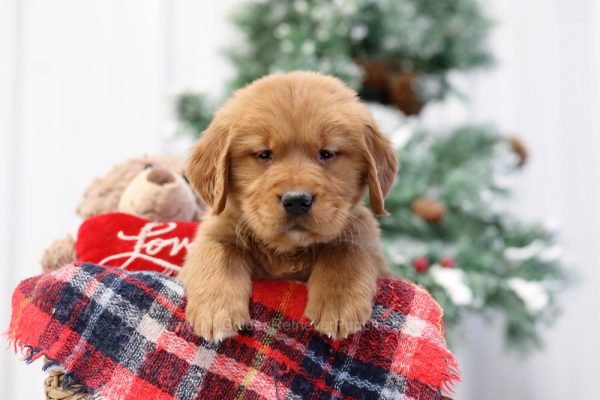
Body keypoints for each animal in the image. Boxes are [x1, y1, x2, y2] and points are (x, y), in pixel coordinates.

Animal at [180, 71, 396, 340]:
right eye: (264, 154)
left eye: (327, 153)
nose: (296, 201)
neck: (289, 252)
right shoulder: (215, 230)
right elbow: (217, 252)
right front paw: (215, 309)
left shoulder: (366, 237)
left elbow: (346, 249)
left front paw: (338, 305)